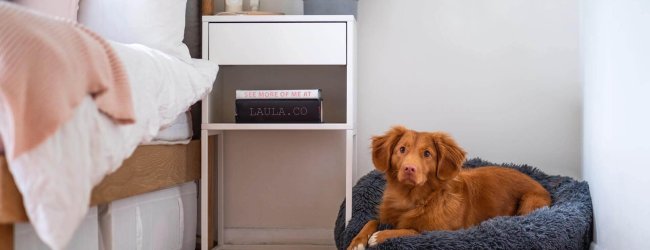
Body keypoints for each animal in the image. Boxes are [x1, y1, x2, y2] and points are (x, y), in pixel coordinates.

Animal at [346, 127, 548, 250]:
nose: (409, 169)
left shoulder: (440, 232)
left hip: (530, 201)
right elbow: (371, 220)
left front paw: (379, 236)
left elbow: (413, 231)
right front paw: (356, 242)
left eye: (427, 154)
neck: (412, 198)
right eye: (402, 149)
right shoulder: (386, 215)